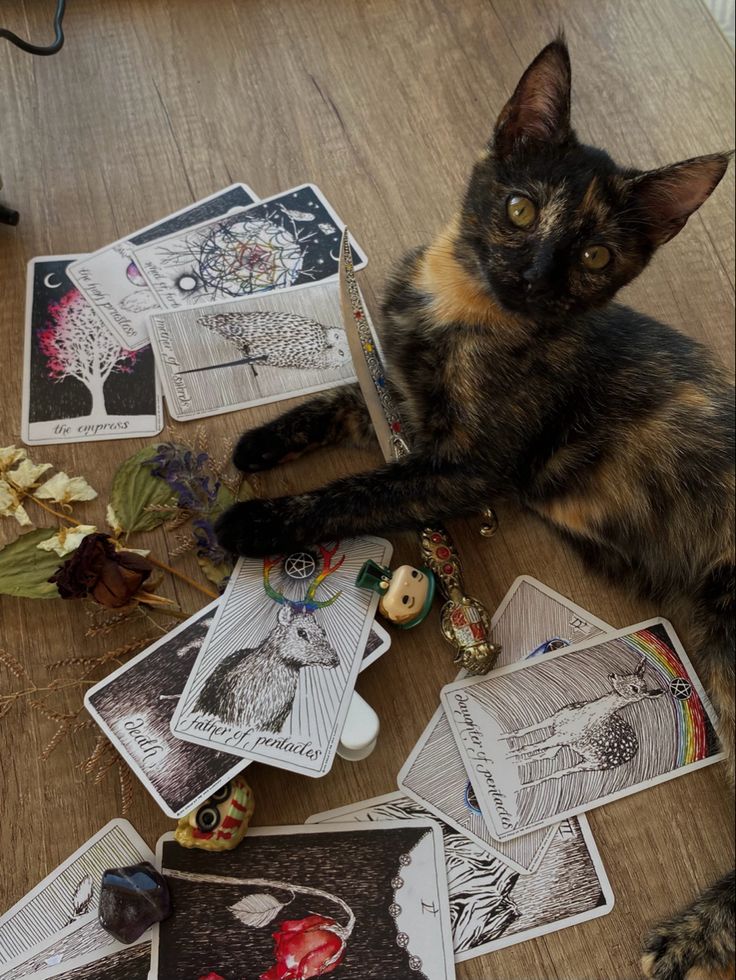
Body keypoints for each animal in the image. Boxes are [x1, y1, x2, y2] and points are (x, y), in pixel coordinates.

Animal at [216, 40, 732, 980]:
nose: (532, 274)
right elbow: (347, 399)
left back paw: (691, 933)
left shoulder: (464, 469)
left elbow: (357, 489)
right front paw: (264, 441)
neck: (466, 309)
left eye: (595, 258)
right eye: (522, 208)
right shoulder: (405, 404)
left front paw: (255, 520)